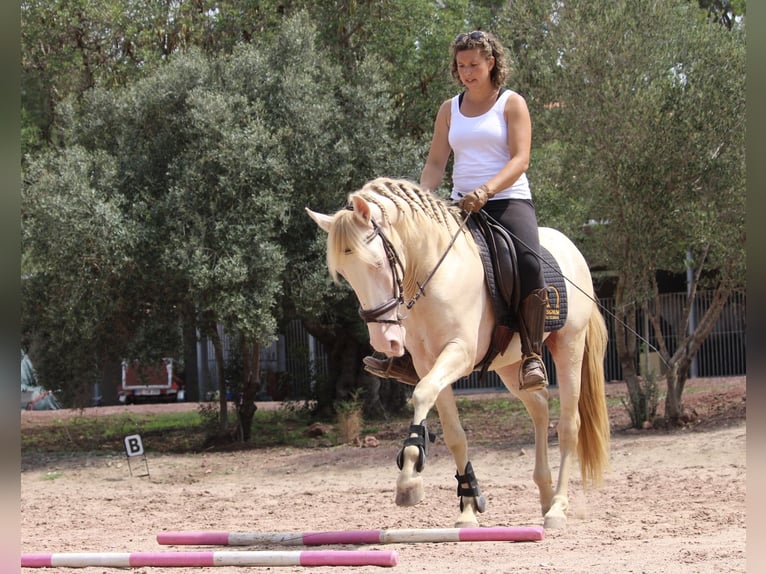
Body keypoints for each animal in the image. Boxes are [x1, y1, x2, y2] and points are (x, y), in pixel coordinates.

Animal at [306, 177, 612, 532]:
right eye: (345, 273)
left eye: (377, 263)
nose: (384, 341)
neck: (432, 272)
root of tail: (572, 250)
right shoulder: (428, 361)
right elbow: (454, 433)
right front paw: (469, 504)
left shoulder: (458, 353)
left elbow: (422, 393)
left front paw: (409, 478)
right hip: (510, 365)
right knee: (538, 407)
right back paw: (546, 495)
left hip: (569, 347)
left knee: (568, 426)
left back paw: (558, 508)